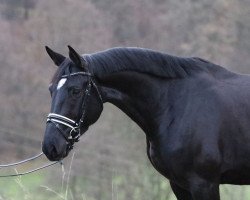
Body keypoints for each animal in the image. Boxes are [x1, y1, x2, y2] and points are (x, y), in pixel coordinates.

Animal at [42, 46, 250, 199]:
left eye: (75, 91)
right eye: (51, 89)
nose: (50, 146)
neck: (178, 103)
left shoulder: (204, 184)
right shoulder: (179, 184)